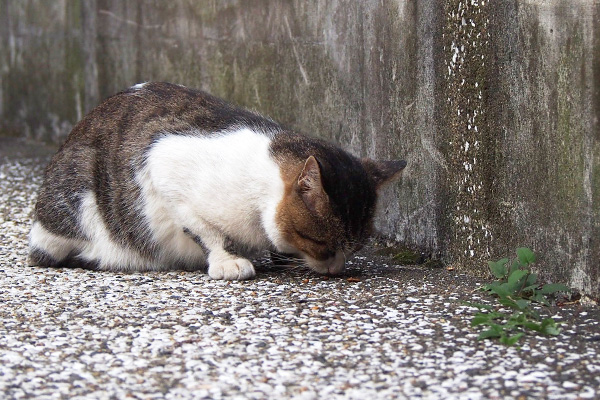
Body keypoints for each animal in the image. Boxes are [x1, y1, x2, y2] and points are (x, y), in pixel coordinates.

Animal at [25, 82, 406, 280]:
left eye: (355, 247)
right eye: (322, 244)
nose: (337, 269)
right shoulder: (162, 166)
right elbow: (206, 231)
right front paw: (228, 260)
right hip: (76, 195)